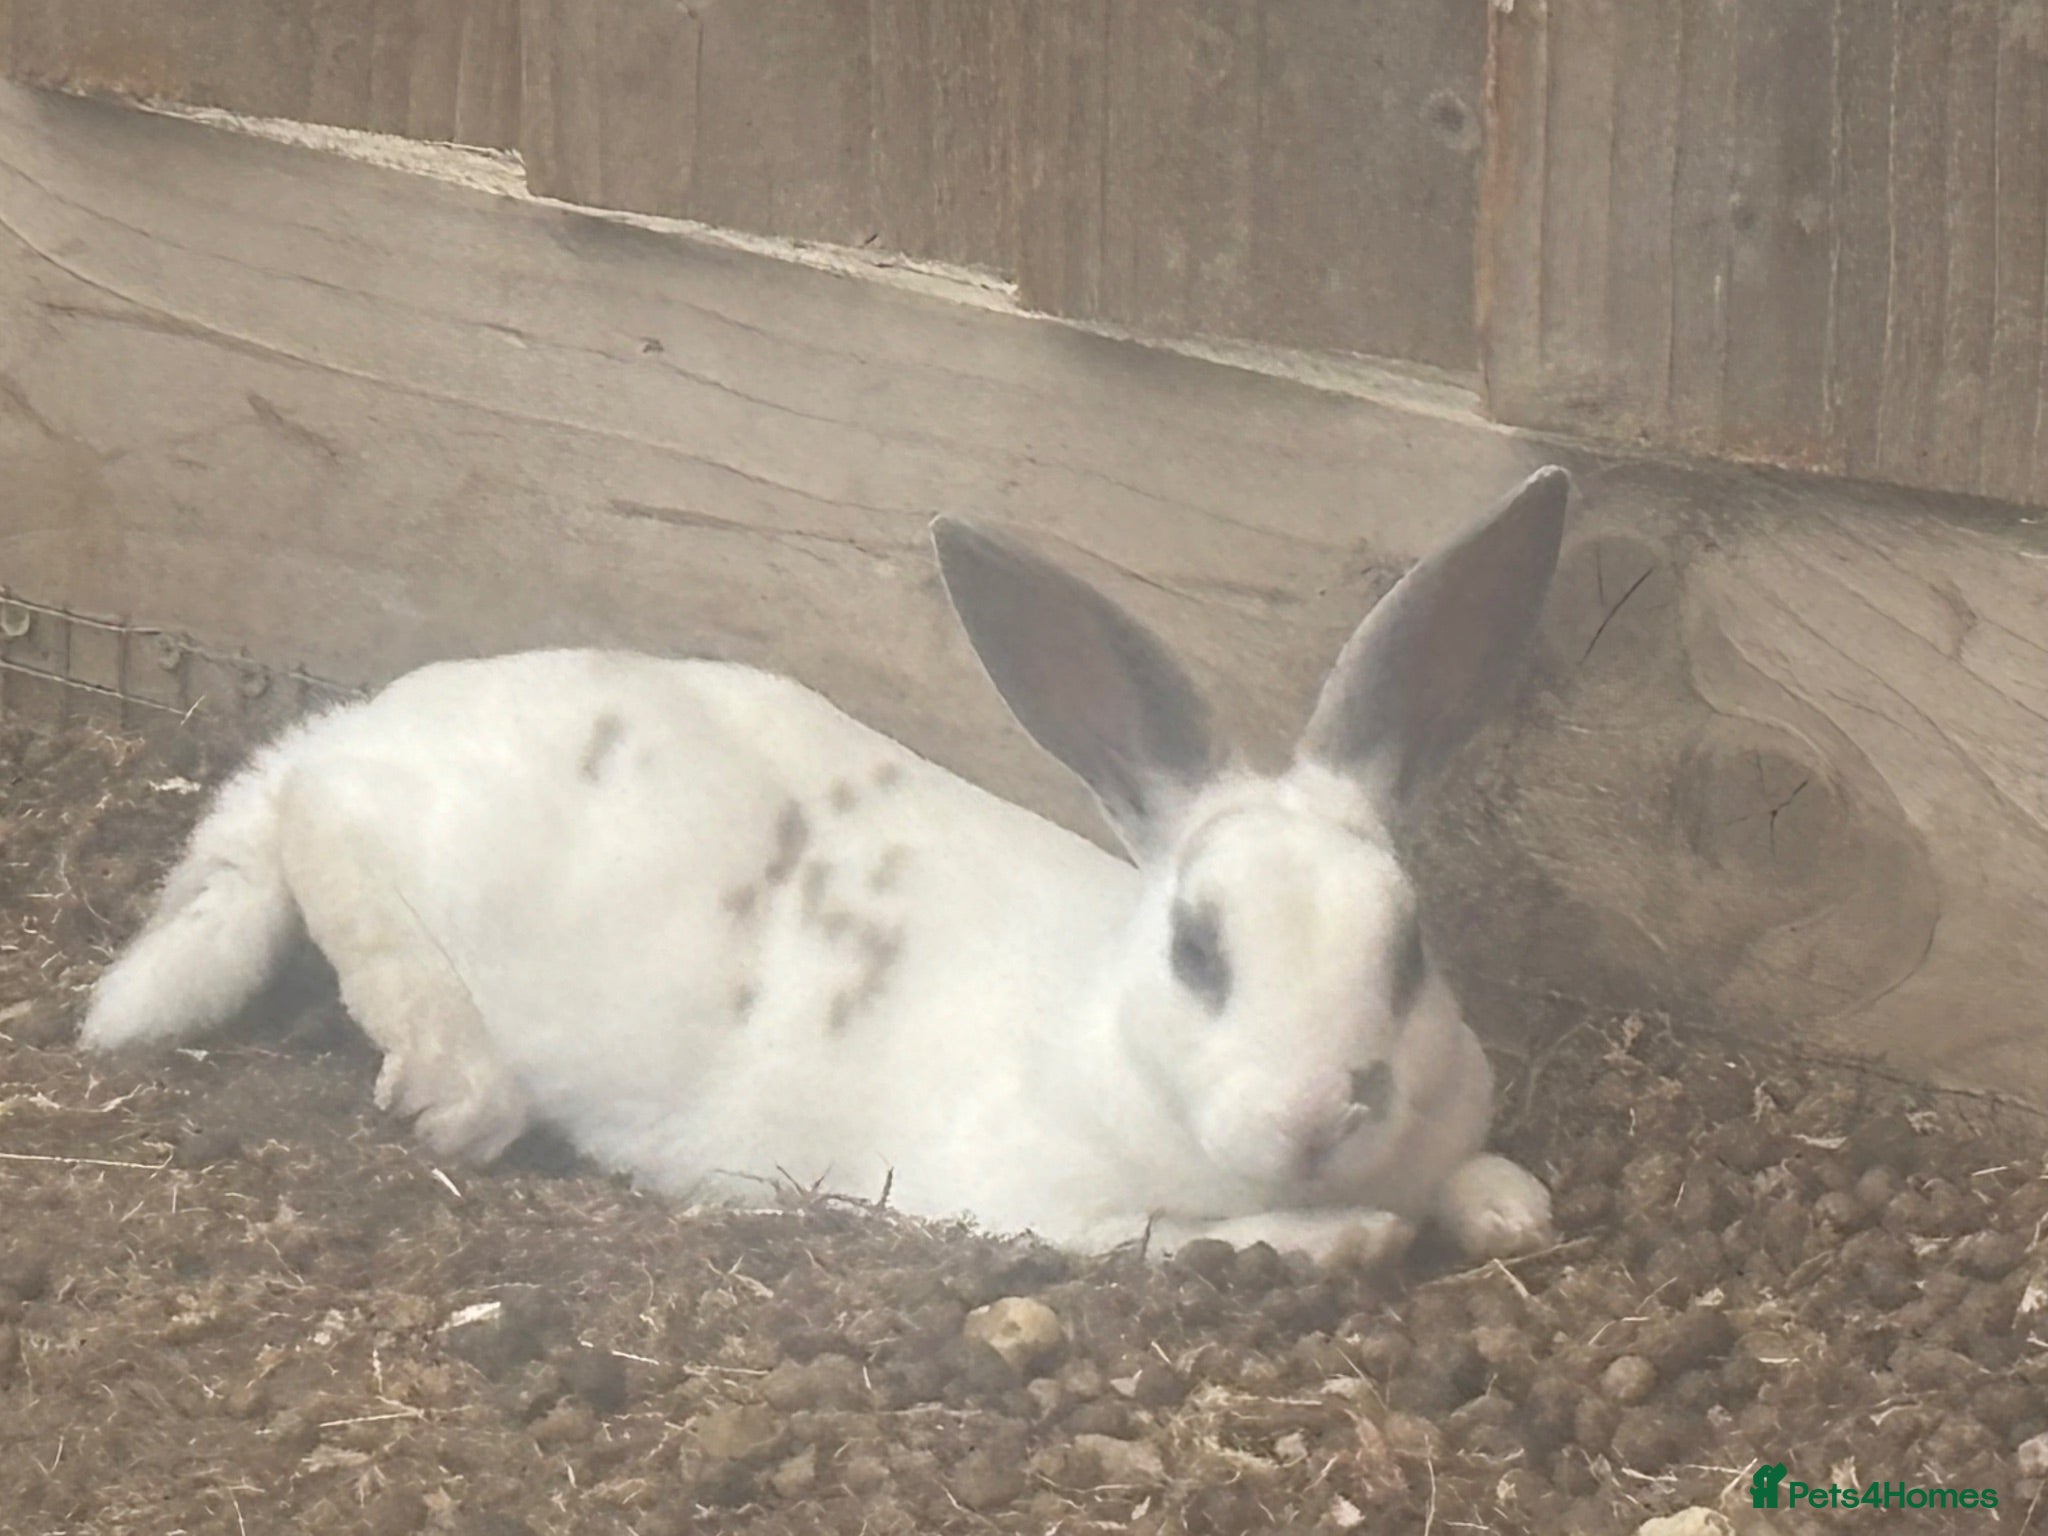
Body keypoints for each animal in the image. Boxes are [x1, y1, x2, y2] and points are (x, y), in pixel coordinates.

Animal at [79, 466, 1572, 1270]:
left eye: (1408, 949)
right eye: (1196, 951)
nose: (1322, 1112)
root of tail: (352, 727)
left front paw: (1503, 1204)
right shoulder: (1043, 1206)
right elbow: (1201, 1239)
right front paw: (1355, 1241)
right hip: (404, 854)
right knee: (325, 827)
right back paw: (456, 1088)